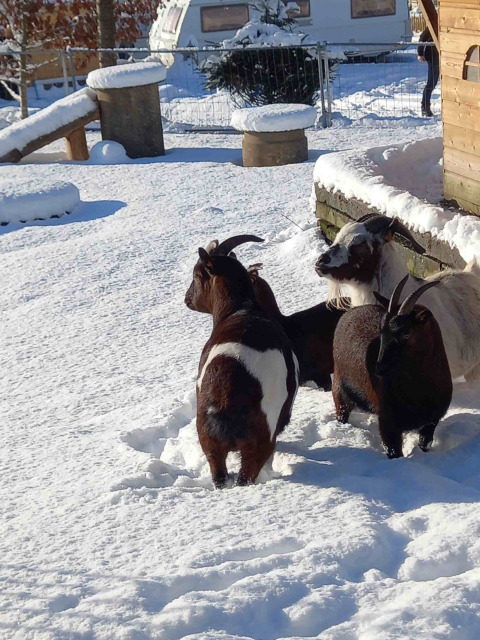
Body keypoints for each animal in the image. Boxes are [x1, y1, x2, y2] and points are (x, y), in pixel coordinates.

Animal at [185, 235, 298, 488]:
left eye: (196, 274)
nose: (187, 300)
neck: (241, 310)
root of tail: (226, 394)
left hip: (210, 441)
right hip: (258, 441)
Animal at [333, 276, 452, 458]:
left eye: (406, 333)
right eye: (381, 331)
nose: (379, 368)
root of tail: (348, 313)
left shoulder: (431, 422)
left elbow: (424, 444)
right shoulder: (388, 423)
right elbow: (393, 451)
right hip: (340, 392)